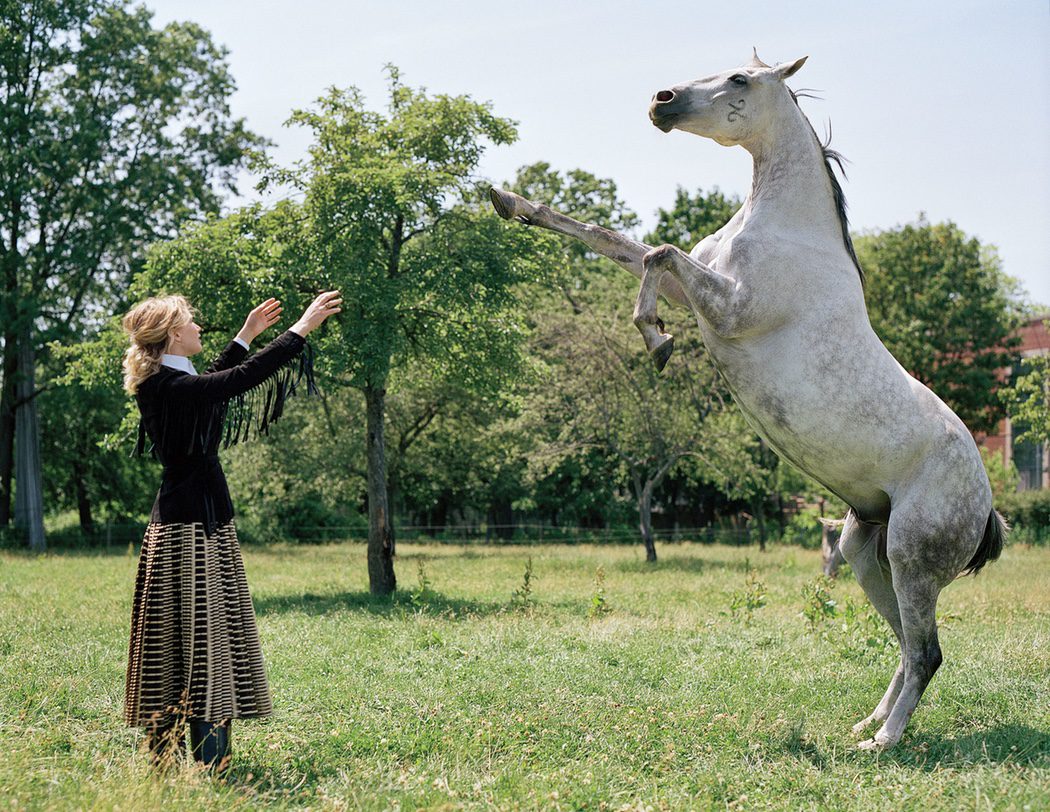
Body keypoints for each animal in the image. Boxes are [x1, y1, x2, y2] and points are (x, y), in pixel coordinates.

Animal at [487, 49, 1003, 747]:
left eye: (739, 79)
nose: (661, 100)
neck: (787, 229)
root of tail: (986, 504)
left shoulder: (728, 311)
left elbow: (657, 252)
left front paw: (656, 341)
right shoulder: (698, 291)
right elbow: (611, 239)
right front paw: (508, 200)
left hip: (912, 561)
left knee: (926, 652)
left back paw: (881, 743)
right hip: (865, 554)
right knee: (904, 647)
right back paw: (867, 722)